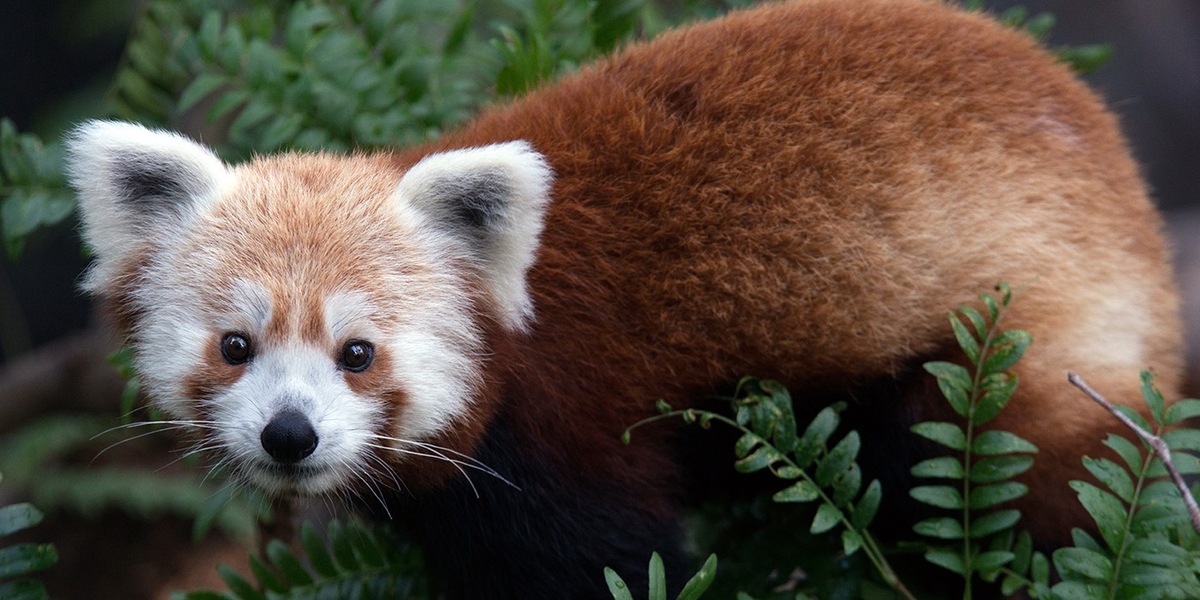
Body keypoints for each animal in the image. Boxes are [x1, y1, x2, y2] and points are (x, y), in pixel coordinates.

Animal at [65, 0, 1180, 597]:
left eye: (358, 353)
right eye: (236, 345)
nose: (289, 436)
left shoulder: (571, 430)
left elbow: (615, 560)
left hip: (1011, 344)